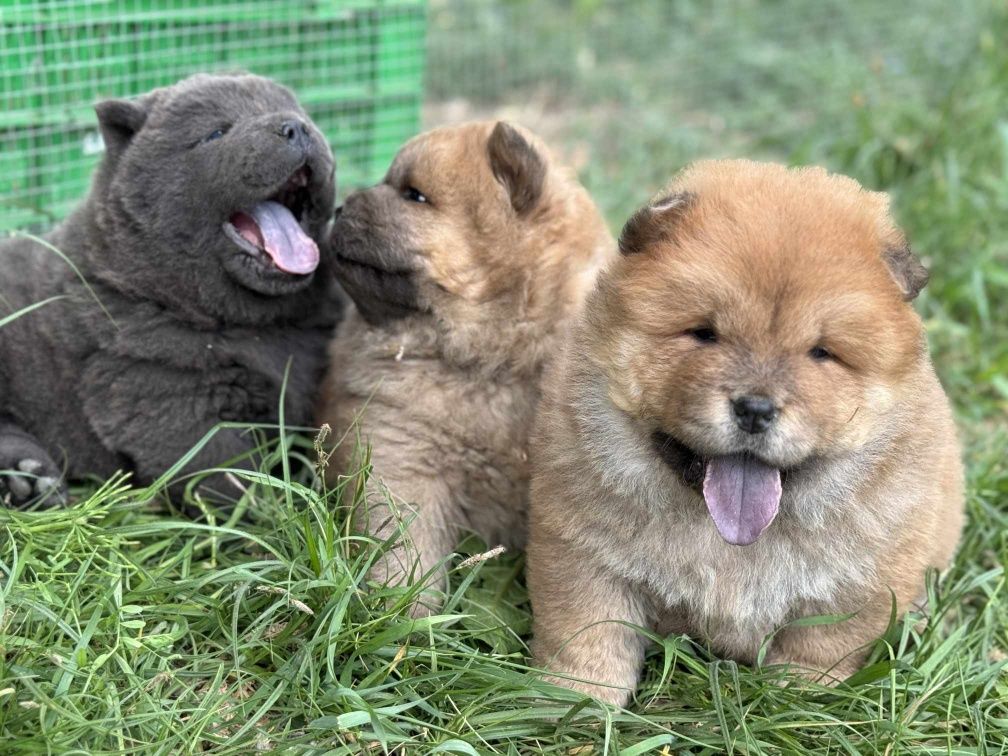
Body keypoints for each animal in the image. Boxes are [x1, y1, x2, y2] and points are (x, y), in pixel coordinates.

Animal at [0, 74, 340, 506]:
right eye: (216, 132)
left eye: (302, 114)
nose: (296, 126)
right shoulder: (165, 396)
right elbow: (225, 474)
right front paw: (274, 513)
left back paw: (29, 481)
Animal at [316, 122, 612, 608]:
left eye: (414, 195)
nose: (339, 209)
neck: (492, 363)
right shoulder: (402, 454)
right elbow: (405, 546)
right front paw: (404, 611)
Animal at [528, 161, 959, 709]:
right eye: (704, 333)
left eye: (821, 353)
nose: (755, 408)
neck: (730, 541)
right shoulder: (580, 550)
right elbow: (586, 632)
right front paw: (574, 702)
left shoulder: (862, 583)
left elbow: (821, 645)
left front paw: (794, 700)